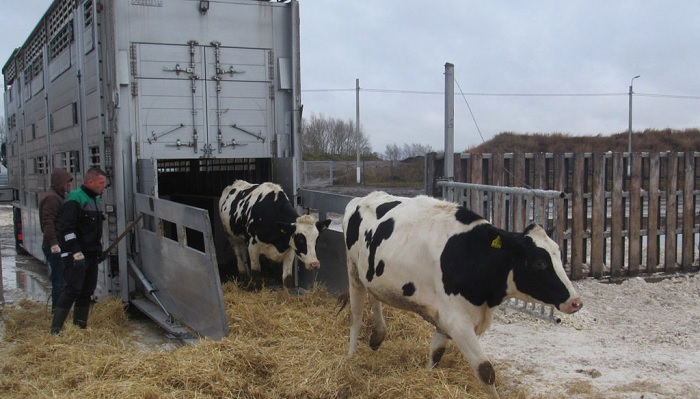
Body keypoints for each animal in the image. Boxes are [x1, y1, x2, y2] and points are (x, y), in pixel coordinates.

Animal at [342, 191, 584, 399]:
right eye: (539, 262)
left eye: (559, 254)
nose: (576, 302)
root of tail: (362, 198)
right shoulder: (458, 322)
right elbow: (486, 370)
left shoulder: (445, 320)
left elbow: (436, 355)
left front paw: (429, 377)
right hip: (353, 271)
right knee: (356, 315)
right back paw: (351, 356)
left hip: (372, 274)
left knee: (375, 297)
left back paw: (378, 336)